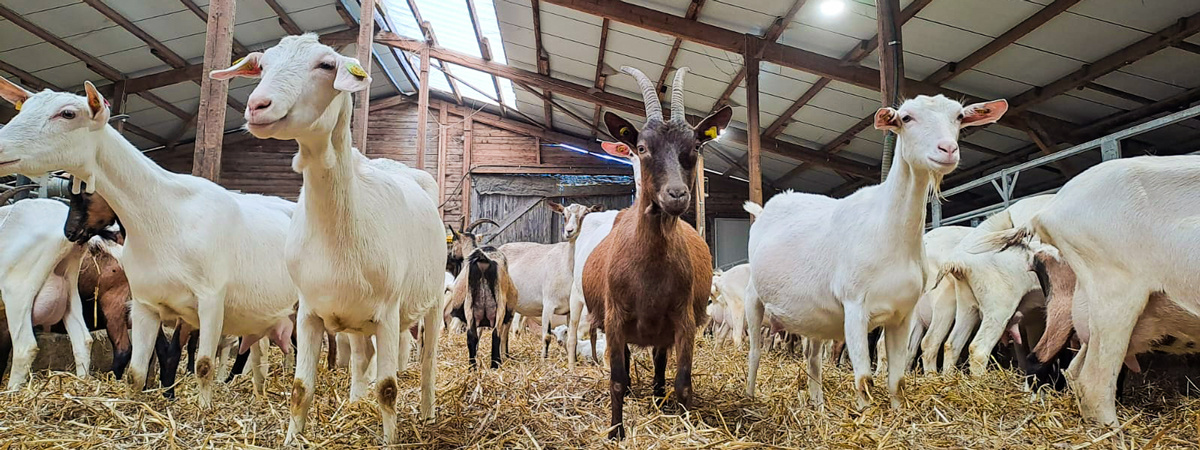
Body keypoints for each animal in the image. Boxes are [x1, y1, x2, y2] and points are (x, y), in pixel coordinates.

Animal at [0, 77, 298, 407]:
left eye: (67, 113)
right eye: (24, 108)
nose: (70, 232)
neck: (166, 214)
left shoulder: (210, 300)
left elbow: (203, 365)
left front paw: (203, 411)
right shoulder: (144, 303)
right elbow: (137, 372)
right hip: (263, 312)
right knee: (257, 354)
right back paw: (258, 394)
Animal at [212, 34, 446, 444]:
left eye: (325, 65)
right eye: (262, 65)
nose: (257, 106)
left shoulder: (388, 312)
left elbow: (388, 388)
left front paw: (389, 441)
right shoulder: (309, 311)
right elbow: (300, 388)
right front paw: (292, 439)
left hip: (430, 302)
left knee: (429, 360)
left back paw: (428, 412)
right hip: (357, 320)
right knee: (361, 357)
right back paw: (354, 401)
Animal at [499, 202, 603, 358]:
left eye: (586, 214)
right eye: (563, 214)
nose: (569, 231)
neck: (566, 266)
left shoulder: (570, 309)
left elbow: (571, 336)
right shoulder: (548, 304)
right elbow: (546, 337)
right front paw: (543, 359)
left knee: (505, 330)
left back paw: (505, 356)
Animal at [583, 66, 729, 439]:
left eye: (695, 146)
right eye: (641, 147)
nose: (676, 195)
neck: (648, 270)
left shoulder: (684, 319)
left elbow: (683, 382)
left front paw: (685, 426)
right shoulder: (615, 318)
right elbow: (616, 379)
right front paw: (616, 431)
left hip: (664, 330)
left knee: (661, 361)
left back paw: (658, 393)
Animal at [743, 95, 1008, 410]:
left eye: (958, 117)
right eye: (906, 118)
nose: (947, 150)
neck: (887, 230)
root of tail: (766, 208)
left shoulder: (903, 314)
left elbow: (897, 380)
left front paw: (897, 412)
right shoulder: (855, 306)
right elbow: (864, 380)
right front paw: (865, 412)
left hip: (814, 315)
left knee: (813, 359)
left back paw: (818, 407)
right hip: (753, 297)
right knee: (755, 351)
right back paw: (749, 396)